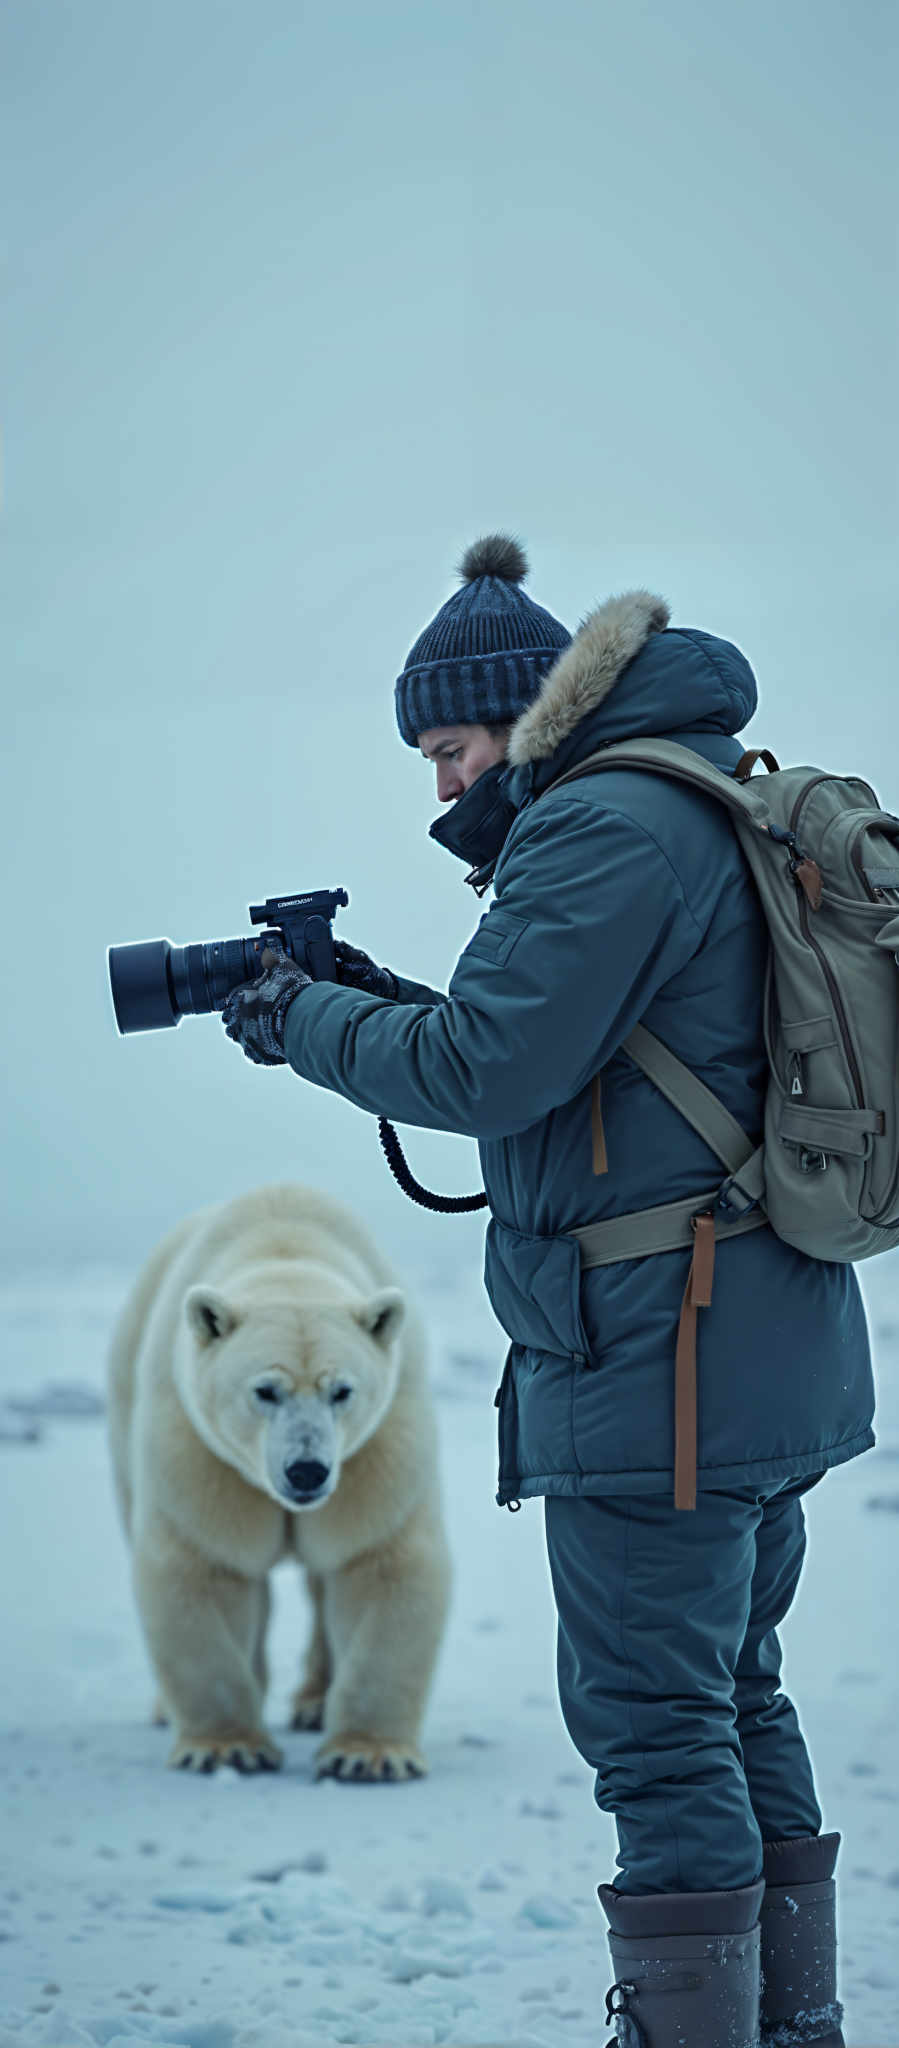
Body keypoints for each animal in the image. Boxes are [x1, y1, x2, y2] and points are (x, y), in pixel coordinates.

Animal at [108, 1187, 454, 1777]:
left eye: (342, 1390)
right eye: (265, 1390)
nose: (307, 1470)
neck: (286, 1249)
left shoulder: (379, 1444)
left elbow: (378, 1559)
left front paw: (367, 1756)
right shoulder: (201, 1449)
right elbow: (205, 1562)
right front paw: (227, 1747)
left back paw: (314, 1703)